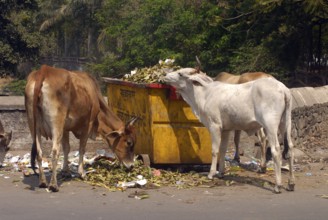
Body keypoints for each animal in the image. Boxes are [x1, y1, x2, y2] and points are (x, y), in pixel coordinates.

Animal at [25, 64, 138, 192]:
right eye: (129, 142)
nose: (131, 165)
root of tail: (44, 70)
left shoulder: (65, 128)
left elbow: (67, 148)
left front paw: (66, 171)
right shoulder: (88, 125)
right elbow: (82, 148)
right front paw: (81, 172)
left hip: (33, 125)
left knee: (39, 152)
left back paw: (43, 181)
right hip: (56, 123)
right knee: (54, 151)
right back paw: (53, 185)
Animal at [165, 68, 296, 193]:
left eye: (180, 73)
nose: (165, 76)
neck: (205, 94)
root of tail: (283, 88)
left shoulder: (215, 126)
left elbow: (215, 151)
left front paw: (211, 173)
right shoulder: (226, 130)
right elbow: (223, 150)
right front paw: (221, 172)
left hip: (270, 124)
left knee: (276, 150)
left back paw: (277, 185)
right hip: (285, 123)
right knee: (290, 148)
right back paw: (290, 183)